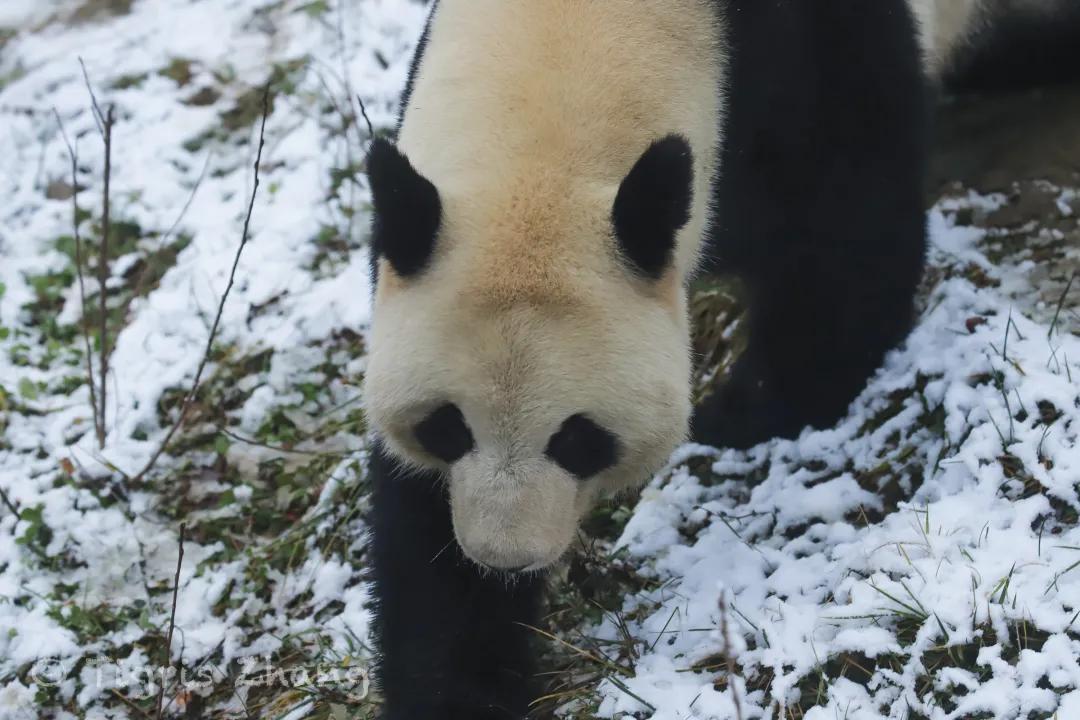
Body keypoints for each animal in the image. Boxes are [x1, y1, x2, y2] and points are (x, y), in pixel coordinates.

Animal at [362, 2, 1080, 716]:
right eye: (446, 428)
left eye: (578, 439)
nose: (505, 559)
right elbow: (417, 518)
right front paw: (459, 680)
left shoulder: (811, 55)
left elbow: (845, 220)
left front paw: (746, 413)